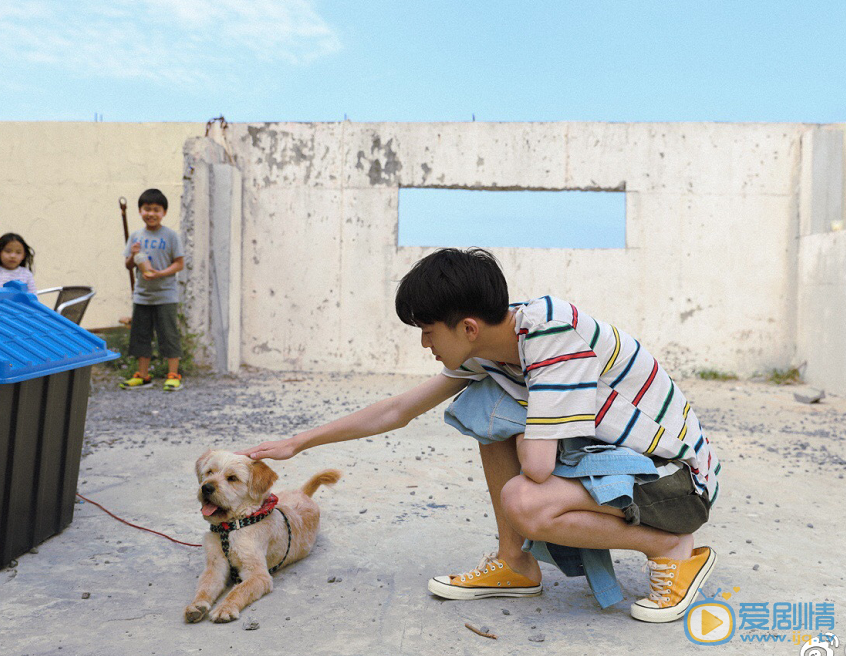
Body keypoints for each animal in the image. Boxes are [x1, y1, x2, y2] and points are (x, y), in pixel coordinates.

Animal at [186, 448, 342, 624]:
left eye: (232, 478)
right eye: (209, 472)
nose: (206, 488)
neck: (232, 527)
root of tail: (302, 493)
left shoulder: (258, 575)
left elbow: (240, 590)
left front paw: (225, 608)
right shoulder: (215, 567)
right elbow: (205, 586)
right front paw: (197, 605)